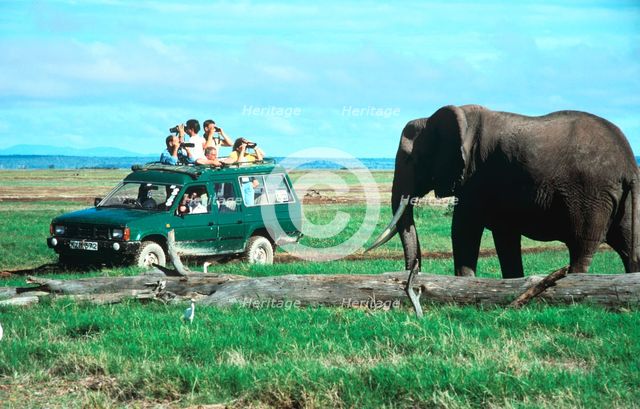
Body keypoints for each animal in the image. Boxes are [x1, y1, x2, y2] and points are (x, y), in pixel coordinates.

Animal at [369, 105, 640, 293]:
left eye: (410, 159)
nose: (414, 277)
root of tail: (628, 164)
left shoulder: (476, 177)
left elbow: (464, 229)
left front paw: (465, 283)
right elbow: (504, 237)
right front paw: (511, 284)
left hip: (590, 197)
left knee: (582, 248)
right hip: (622, 200)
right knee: (630, 248)